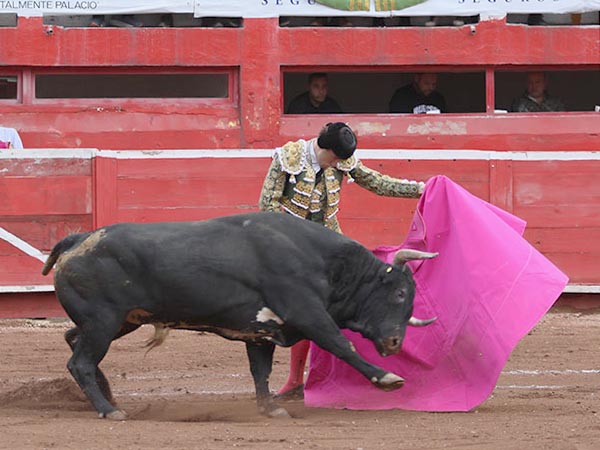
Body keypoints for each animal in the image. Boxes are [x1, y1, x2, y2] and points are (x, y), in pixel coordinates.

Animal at [41, 211, 436, 418]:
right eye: (401, 293)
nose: (394, 342)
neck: (321, 261)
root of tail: (78, 240)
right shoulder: (307, 313)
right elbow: (342, 345)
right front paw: (387, 378)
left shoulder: (261, 330)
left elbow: (260, 370)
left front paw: (269, 408)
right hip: (103, 321)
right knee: (80, 362)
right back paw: (108, 409)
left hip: (118, 322)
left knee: (73, 341)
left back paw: (109, 396)